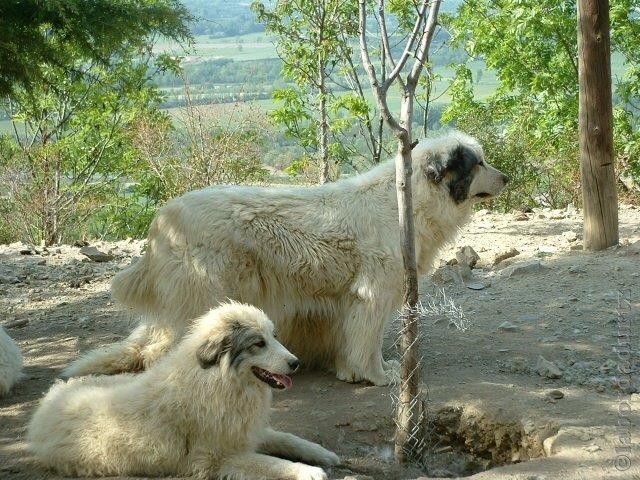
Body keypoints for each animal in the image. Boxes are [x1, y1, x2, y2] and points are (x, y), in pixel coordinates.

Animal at [28, 304, 340, 480]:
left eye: (274, 337)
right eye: (258, 344)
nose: (296, 363)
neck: (218, 379)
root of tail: (51, 398)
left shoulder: (244, 431)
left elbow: (288, 439)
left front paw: (322, 454)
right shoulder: (216, 458)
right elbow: (270, 463)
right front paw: (308, 471)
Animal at [62, 131, 508, 386]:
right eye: (479, 163)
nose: (506, 178)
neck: (406, 201)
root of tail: (163, 218)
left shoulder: (350, 299)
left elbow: (350, 337)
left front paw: (347, 371)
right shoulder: (373, 294)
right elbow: (367, 339)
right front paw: (376, 376)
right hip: (203, 296)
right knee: (160, 350)